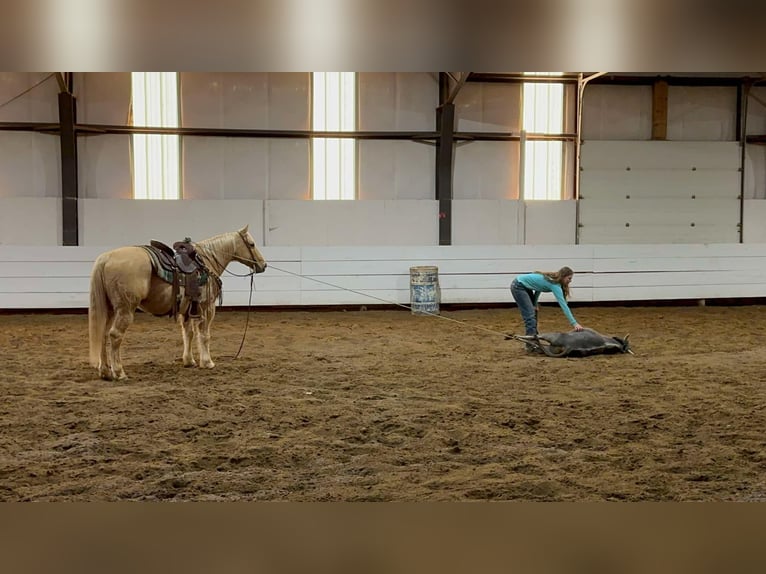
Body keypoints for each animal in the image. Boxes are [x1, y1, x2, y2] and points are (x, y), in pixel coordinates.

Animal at [88, 226, 264, 382]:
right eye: (252, 244)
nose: (263, 265)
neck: (206, 261)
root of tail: (106, 258)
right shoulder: (207, 307)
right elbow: (204, 335)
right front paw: (207, 362)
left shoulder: (186, 310)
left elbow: (188, 334)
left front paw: (189, 361)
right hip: (125, 310)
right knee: (115, 335)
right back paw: (119, 372)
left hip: (110, 310)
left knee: (103, 334)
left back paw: (105, 372)